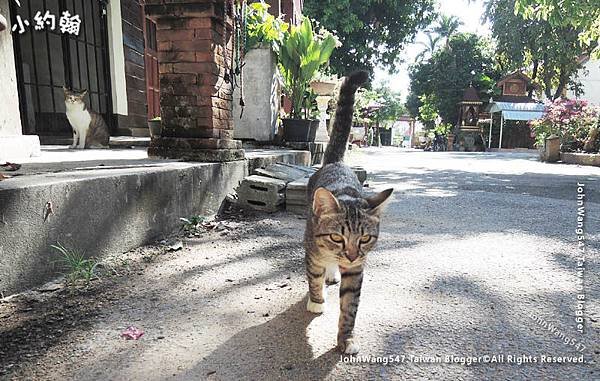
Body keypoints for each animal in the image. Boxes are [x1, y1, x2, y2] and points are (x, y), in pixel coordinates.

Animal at [304, 70, 394, 354]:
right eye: (336, 237)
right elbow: (314, 276)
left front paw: (346, 337)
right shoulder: (313, 251)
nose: (352, 255)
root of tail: (337, 162)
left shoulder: (356, 271)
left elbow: (349, 307)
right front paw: (316, 301)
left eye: (364, 238)